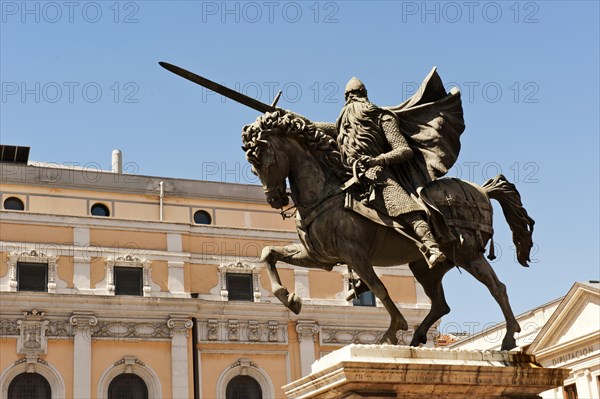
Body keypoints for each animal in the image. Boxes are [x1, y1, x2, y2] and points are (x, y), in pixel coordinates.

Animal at [244, 111, 536, 352]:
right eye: (253, 167)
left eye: (265, 161)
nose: (275, 199)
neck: (326, 193)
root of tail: (482, 191)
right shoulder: (319, 256)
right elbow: (268, 253)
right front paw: (289, 298)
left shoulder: (353, 253)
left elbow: (379, 287)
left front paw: (393, 330)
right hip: (424, 265)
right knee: (441, 303)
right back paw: (418, 338)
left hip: (467, 253)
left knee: (497, 287)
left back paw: (509, 338)